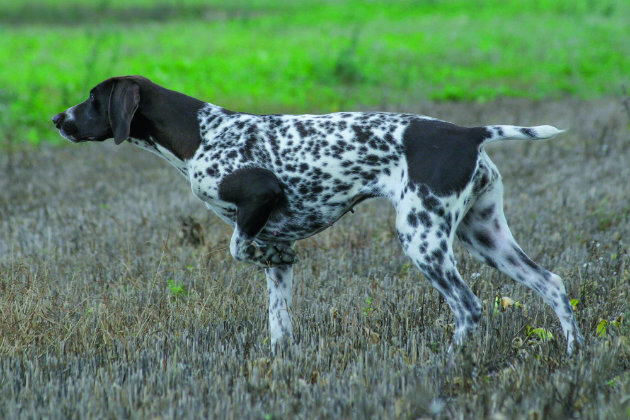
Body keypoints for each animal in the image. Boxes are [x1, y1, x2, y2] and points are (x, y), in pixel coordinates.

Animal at [51, 76, 584, 354]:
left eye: (93, 100)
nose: (57, 119)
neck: (202, 133)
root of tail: (469, 132)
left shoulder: (259, 198)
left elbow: (239, 246)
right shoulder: (279, 257)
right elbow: (278, 322)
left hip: (423, 239)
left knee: (468, 307)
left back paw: (447, 363)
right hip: (487, 236)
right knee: (552, 283)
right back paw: (575, 352)